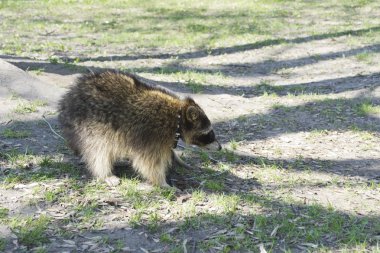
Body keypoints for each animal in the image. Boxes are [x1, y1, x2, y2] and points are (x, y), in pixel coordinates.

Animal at [58, 70, 221, 187]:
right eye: (209, 133)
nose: (220, 147)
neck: (178, 117)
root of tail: (68, 99)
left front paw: (176, 159)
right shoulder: (151, 134)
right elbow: (150, 163)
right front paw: (161, 182)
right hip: (90, 125)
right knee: (99, 151)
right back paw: (105, 173)